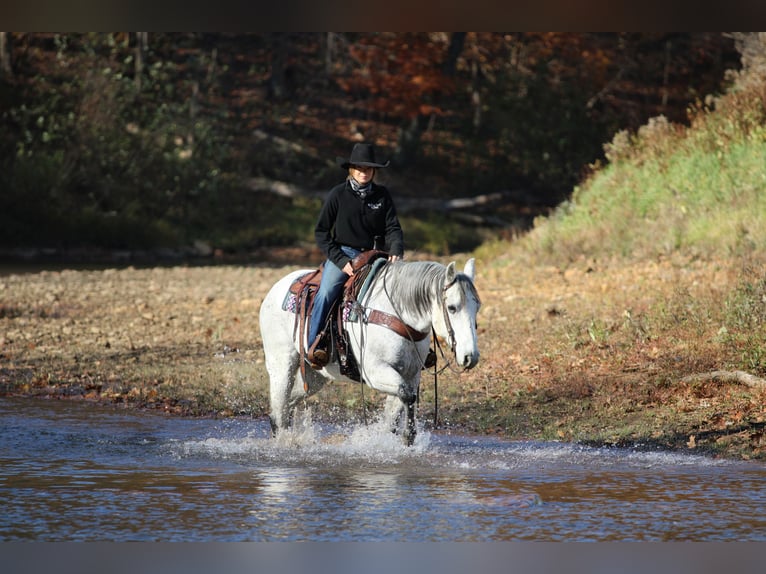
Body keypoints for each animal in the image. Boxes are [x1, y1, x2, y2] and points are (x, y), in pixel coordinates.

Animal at [259, 258, 481, 446]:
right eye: (452, 308)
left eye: (477, 306)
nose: (471, 357)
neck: (397, 315)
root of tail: (275, 289)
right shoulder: (375, 372)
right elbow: (407, 396)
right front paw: (407, 436)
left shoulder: (411, 374)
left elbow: (398, 408)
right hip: (282, 365)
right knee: (279, 410)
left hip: (315, 376)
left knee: (289, 403)